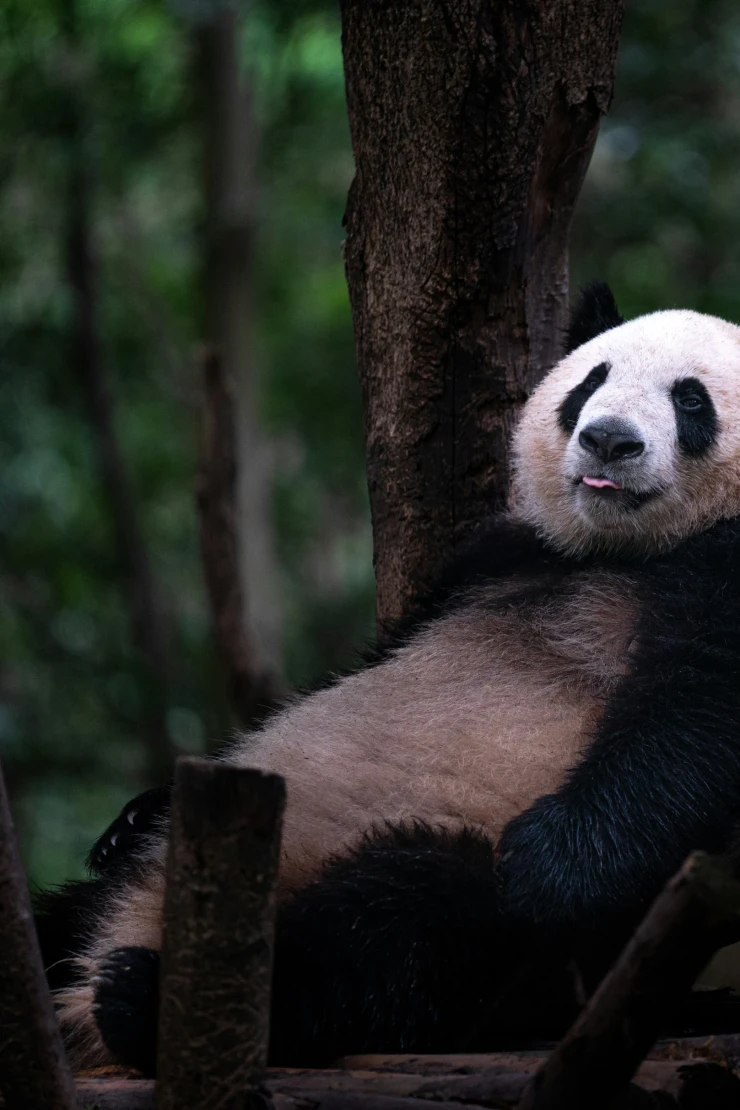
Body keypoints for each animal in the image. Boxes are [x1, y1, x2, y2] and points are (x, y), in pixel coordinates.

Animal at [38, 282, 740, 1074]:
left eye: (690, 400)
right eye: (592, 380)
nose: (608, 440)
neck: (623, 552)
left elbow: (692, 721)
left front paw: (545, 862)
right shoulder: (495, 559)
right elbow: (385, 649)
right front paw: (135, 813)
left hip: (462, 881)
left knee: (396, 931)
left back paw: (147, 1000)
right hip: (130, 885)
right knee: (64, 912)